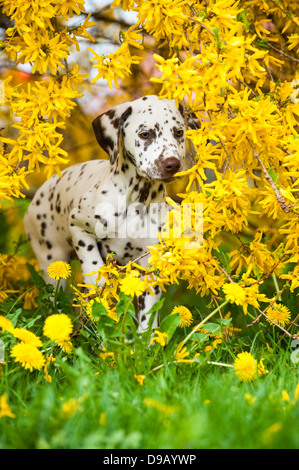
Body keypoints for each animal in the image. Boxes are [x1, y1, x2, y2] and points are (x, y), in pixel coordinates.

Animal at [24, 95, 200, 330]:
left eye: (179, 132)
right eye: (145, 134)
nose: (172, 164)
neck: (136, 198)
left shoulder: (148, 268)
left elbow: (147, 321)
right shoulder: (78, 225)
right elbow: (93, 264)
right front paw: (97, 281)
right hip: (52, 262)